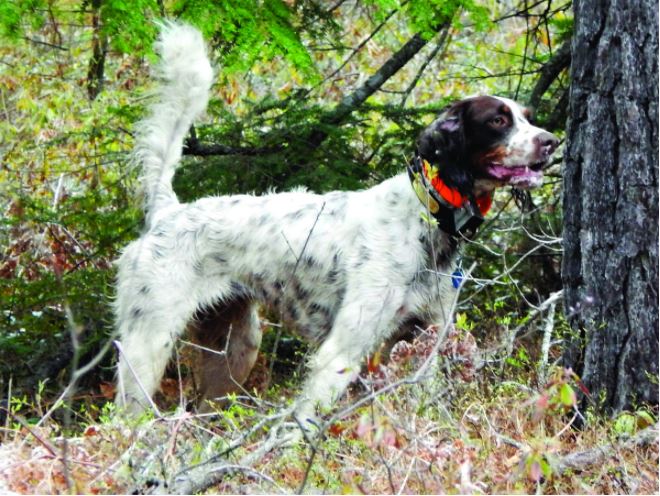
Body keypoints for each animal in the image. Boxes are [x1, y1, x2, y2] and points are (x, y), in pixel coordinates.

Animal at [113, 22, 556, 426]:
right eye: (498, 121)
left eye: (528, 118)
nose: (551, 141)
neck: (424, 218)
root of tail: (167, 212)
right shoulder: (341, 350)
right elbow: (306, 424)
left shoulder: (423, 342)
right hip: (147, 345)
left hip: (234, 350)